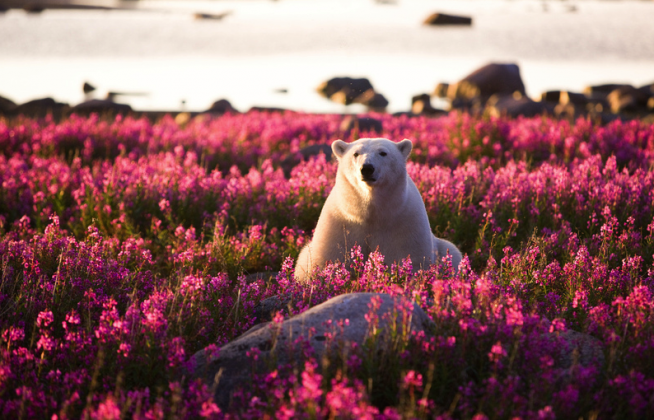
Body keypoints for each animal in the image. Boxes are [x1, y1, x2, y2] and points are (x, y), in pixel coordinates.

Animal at [294, 138, 464, 282]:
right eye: (356, 153)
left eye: (383, 153)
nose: (367, 168)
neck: (371, 213)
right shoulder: (340, 221)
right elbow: (329, 257)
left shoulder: (405, 222)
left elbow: (409, 257)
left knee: (453, 252)